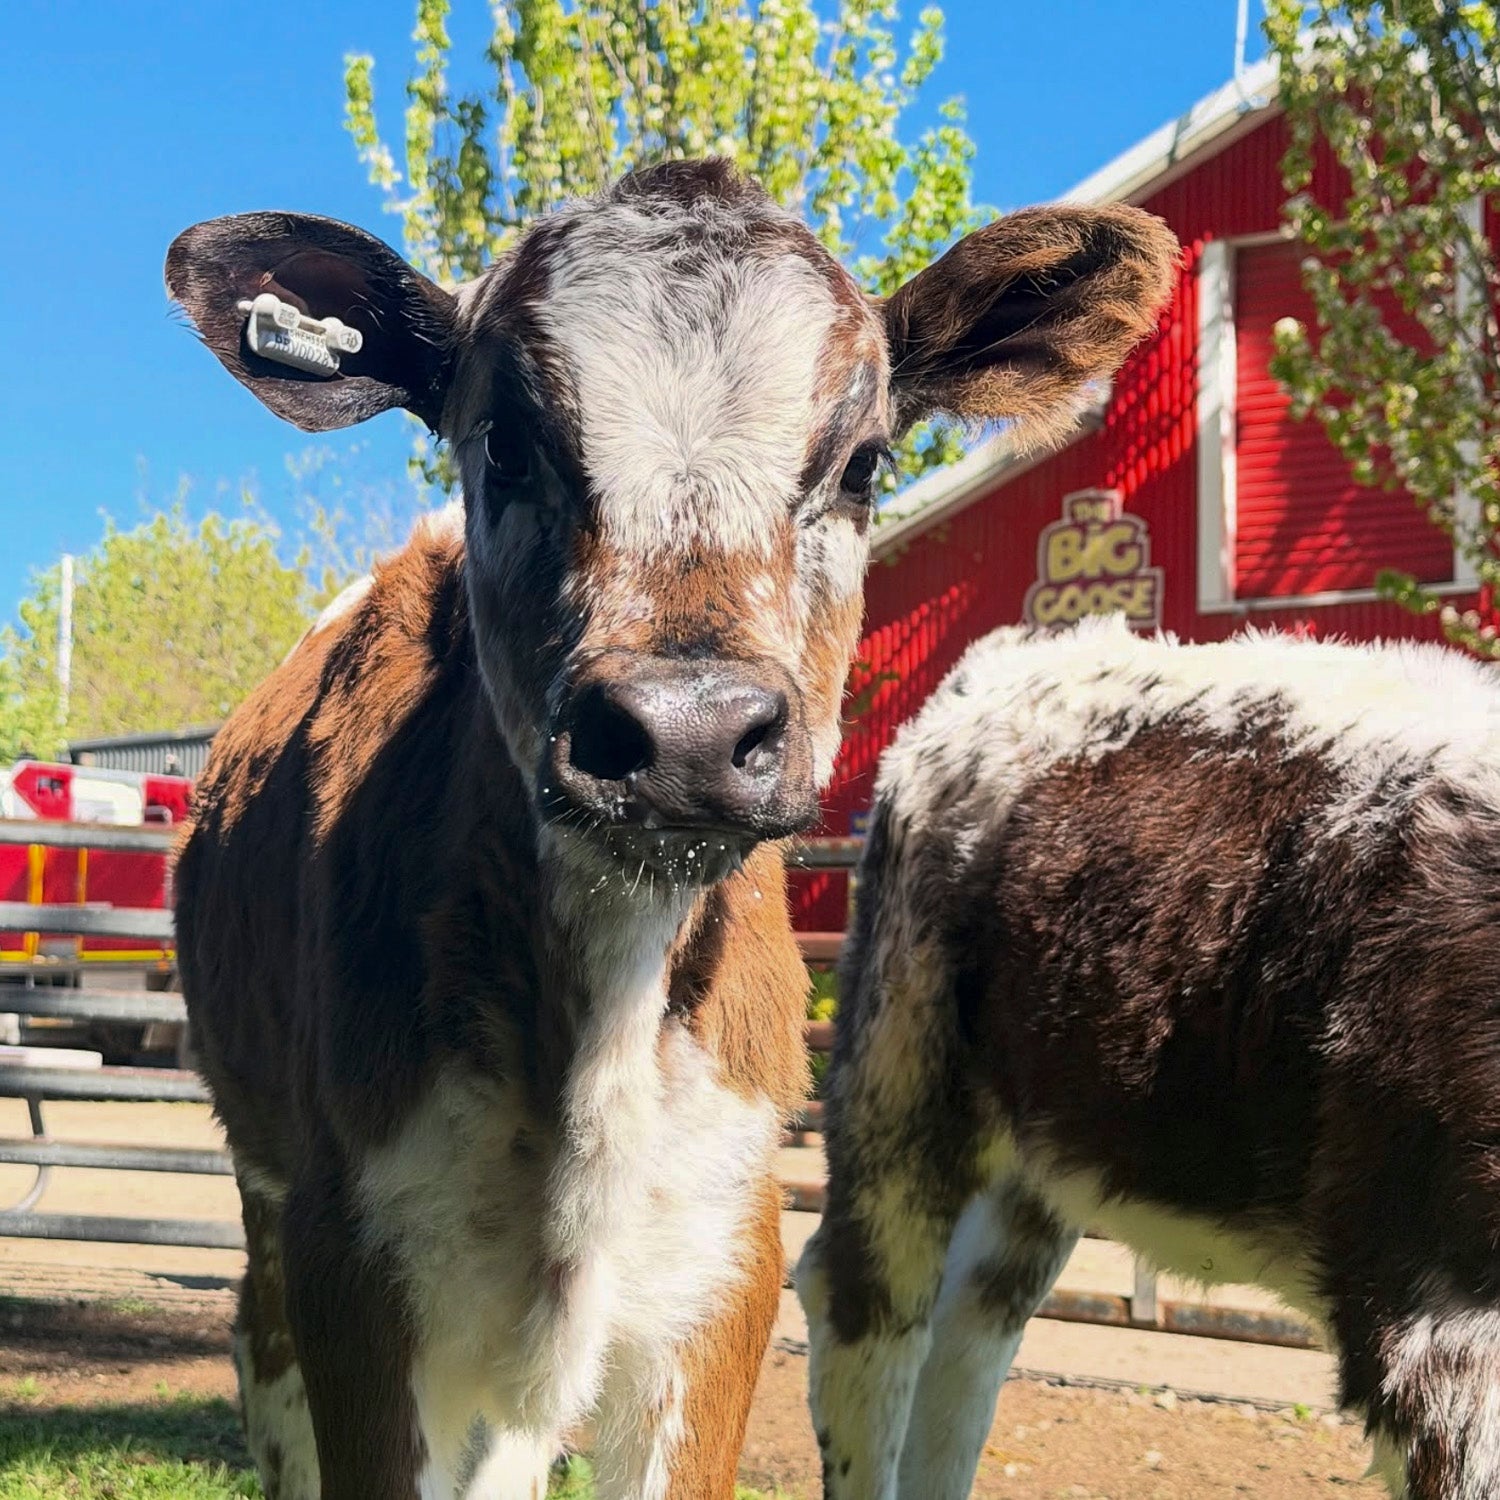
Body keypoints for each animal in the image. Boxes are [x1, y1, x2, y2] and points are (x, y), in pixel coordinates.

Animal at [165, 161, 1177, 1500]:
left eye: (864, 463)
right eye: (503, 444)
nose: (687, 732)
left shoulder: (723, 1258)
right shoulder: (356, 1255)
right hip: (262, 1176)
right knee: (260, 1346)